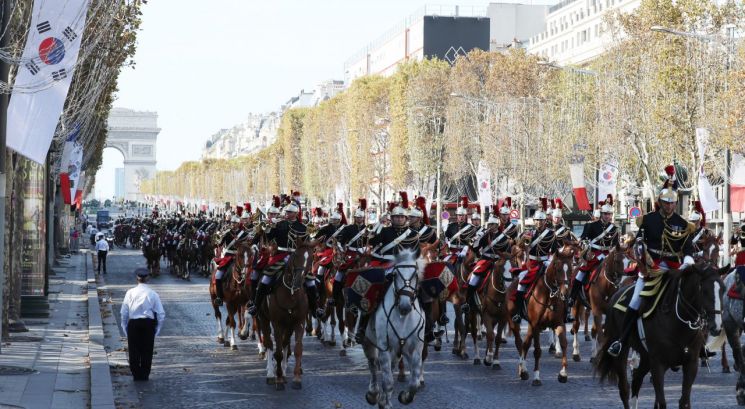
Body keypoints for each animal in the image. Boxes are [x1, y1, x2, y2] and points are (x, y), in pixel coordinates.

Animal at [258, 239, 314, 388]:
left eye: (311, 259)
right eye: (295, 256)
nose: (298, 282)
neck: (290, 294)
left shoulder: (299, 322)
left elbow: (298, 349)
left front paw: (296, 378)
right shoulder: (276, 323)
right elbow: (277, 352)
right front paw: (278, 379)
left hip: (288, 325)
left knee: (284, 343)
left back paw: (282, 372)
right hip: (263, 318)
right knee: (269, 343)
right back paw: (271, 374)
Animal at [362, 250, 424, 406]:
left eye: (415, 275)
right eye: (395, 274)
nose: (405, 306)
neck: (402, 318)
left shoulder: (416, 350)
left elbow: (414, 383)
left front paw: (405, 396)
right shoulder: (384, 348)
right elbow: (388, 382)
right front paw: (385, 403)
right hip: (368, 343)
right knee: (373, 365)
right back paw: (373, 393)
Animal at [506, 244, 576, 384]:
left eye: (571, 269)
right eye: (558, 269)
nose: (565, 294)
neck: (550, 295)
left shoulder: (559, 323)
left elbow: (564, 344)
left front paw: (563, 374)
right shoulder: (536, 325)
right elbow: (537, 351)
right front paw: (537, 377)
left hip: (530, 326)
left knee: (525, 344)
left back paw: (523, 370)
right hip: (514, 322)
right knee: (519, 342)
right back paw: (523, 369)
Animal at [596, 239, 724, 408]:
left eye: (722, 289)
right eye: (704, 290)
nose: (716, 326)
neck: (678, 323)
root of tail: (616, 294)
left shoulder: (690, 364)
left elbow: (684, 401)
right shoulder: (658, 364)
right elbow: (661, 401)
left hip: (645, 356)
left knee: (637, 378)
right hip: (622, 352)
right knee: (624, 388)